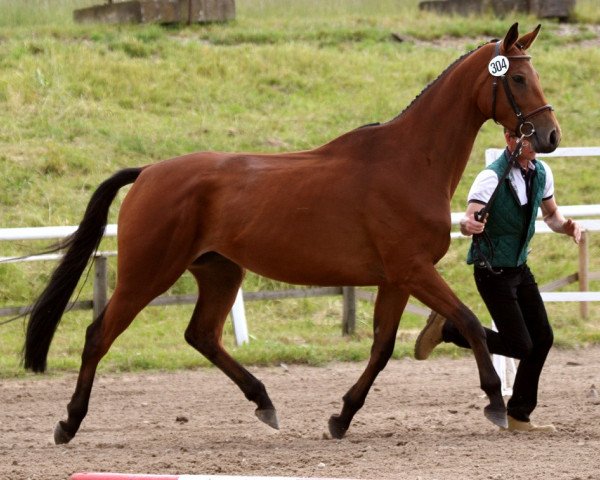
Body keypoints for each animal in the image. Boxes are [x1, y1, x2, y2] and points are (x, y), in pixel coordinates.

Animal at [22, 22, 556, 442]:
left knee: (201, 335)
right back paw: (68, 423)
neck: (409, 161)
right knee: (99, 335)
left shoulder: (395, 279)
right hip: (147, 273)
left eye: (535, 76)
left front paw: (342, 417)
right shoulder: (414, 270)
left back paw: (264, 402)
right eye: (519, 78)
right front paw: (494, 403)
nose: (551, 136)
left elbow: (382, 348)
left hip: (219, 272)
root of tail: (149, 172)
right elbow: (467, 321)